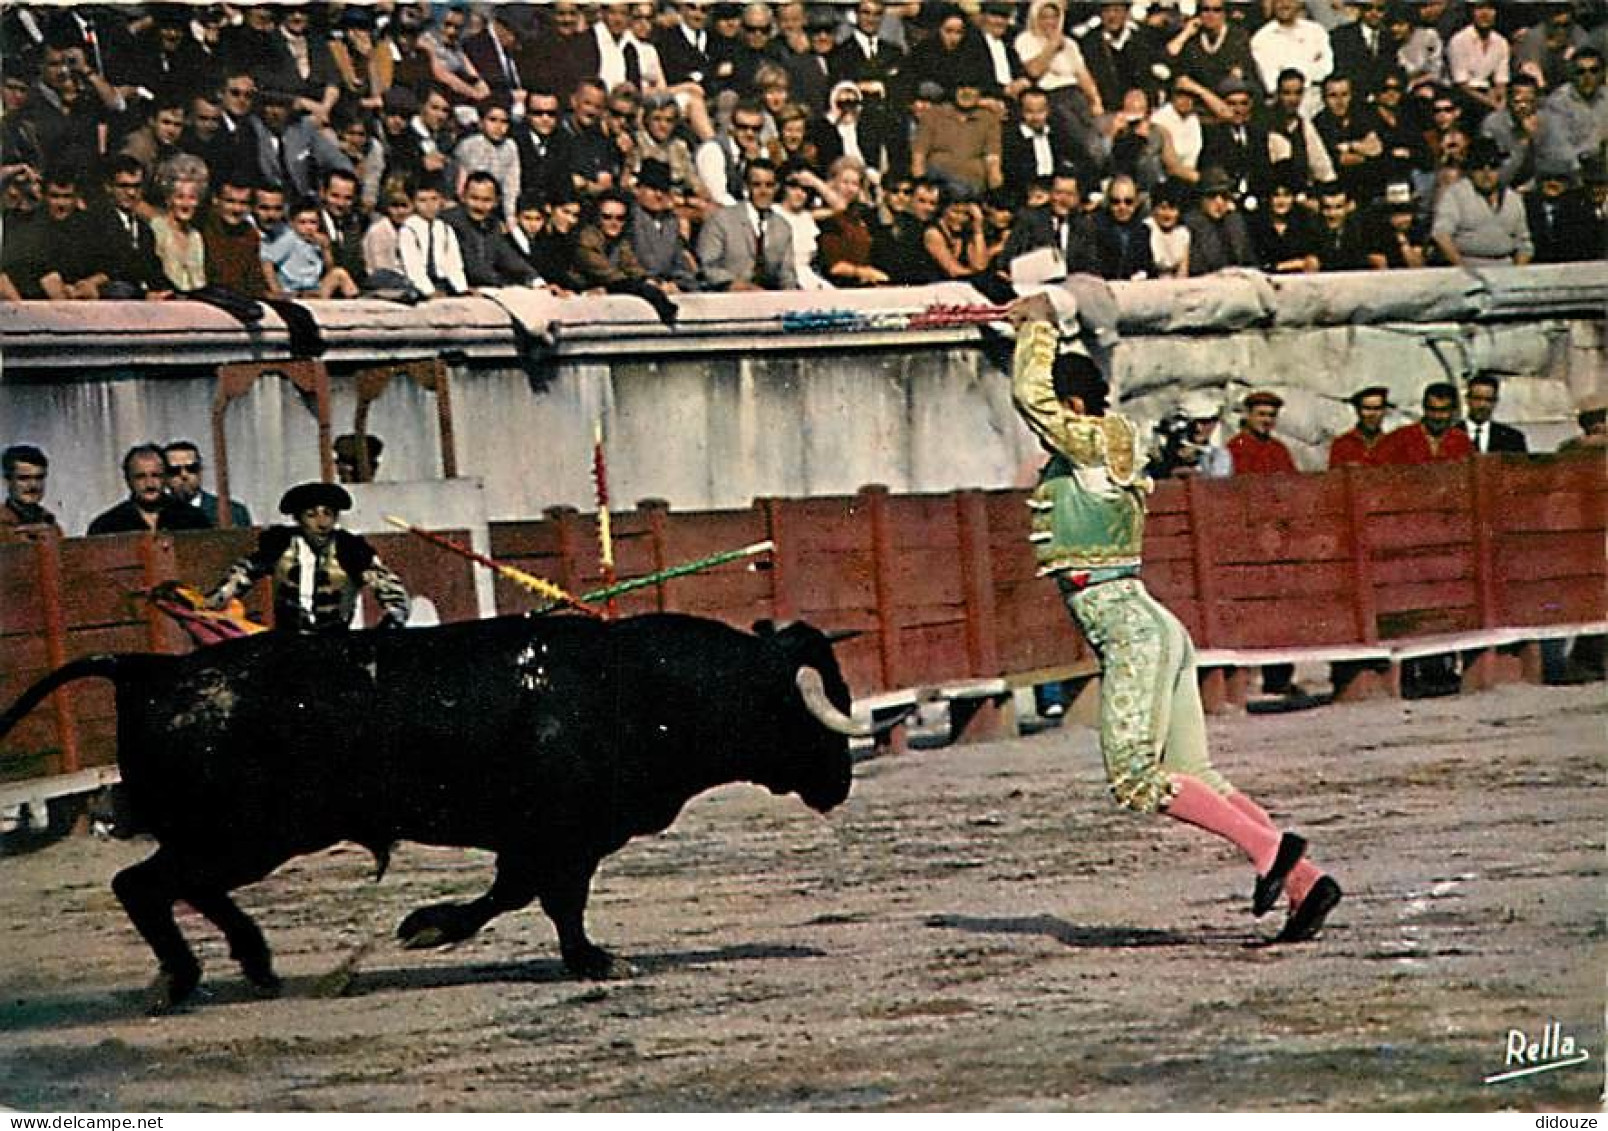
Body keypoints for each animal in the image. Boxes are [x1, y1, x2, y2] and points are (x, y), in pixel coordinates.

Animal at [0, 614, 881, 1010]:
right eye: (816, 708)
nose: (840, 782)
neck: (639, 683)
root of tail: (149, 666)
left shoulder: (549, 838)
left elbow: (519, 892)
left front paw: (429, 924)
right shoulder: (561, 834)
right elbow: (549, 899)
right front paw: (593, 960)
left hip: (246, 836)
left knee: (174, 885)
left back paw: (256, 963)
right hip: (245, 832)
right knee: (144, 884)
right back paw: (188, 977)